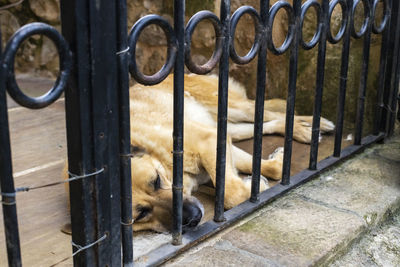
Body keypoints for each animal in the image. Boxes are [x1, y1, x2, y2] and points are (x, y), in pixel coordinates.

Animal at [129, 74, 334, 233]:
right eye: (142, 214)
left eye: (156, 180)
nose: (194, 218)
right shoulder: (217, 140)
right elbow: (261, 171)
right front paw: (265, 175)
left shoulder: (208, 139)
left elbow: (231, 193)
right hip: (230, 126)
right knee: (266, 124)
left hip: (235, 109)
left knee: (275, 113)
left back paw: (311, 126)